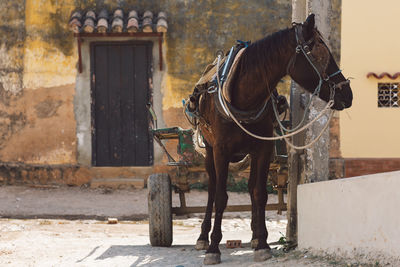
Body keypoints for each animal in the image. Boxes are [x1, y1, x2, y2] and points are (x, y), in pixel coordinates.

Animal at [194, 13, 354, 264]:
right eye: (321, 54)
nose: (347, 94)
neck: (243, 97)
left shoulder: (263, 148)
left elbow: (260, 193)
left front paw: (262, 244)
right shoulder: (221, 151)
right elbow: (220, 196)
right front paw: (213, 248)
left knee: (251, 187)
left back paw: (254, 236)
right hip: (209, 150)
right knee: (211, 188)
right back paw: (203, 237)